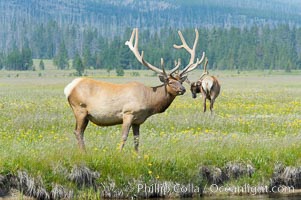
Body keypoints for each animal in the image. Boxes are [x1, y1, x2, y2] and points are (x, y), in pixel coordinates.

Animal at [63, 27, 204, 151]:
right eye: (170, 82)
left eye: (180, 81)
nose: (183, 89)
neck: (149, 102)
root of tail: (69, 87)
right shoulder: (128, 113)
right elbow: (124, 137)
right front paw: (118, 154)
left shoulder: (138, 121)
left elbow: (137, 140)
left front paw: (137, 156)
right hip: (80, 109)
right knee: (78, 132)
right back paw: (84, 153)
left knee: (78, 131)